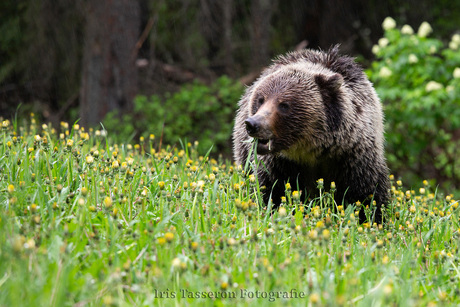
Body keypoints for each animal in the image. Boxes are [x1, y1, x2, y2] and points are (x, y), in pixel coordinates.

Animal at [234, 45, 388, 224]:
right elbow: (270, 191)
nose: (253, 124)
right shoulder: (279, 165)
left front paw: (373, 218)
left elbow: (367, 195)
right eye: (261, 99)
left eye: (284, 105)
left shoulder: (354, 158)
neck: (312, 150)